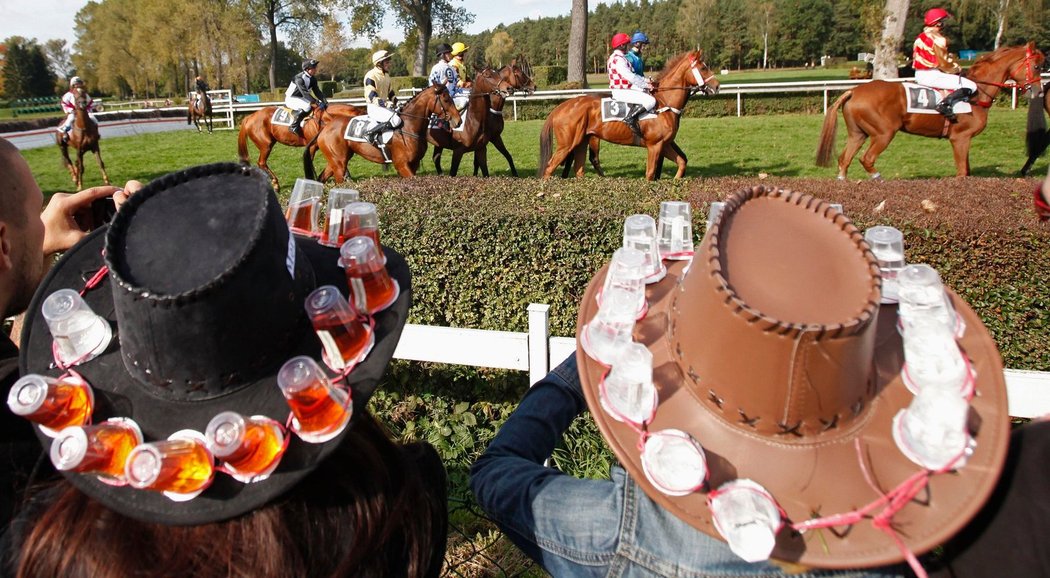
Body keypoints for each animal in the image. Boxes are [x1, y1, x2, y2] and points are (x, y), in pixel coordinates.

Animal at [306, 84, 466, 182]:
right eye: (446, 99)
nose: (458, 121)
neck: (409, 126)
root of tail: (325, 128)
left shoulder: (413, 164)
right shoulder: (402, 165)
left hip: (335, 161)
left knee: (321, 179)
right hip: (339, 164)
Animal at [537, 50, 718, 180]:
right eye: (703, 67)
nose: (716, 86)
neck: (664, 103)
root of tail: (560, 107)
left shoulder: (665, 144)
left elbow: (681, 162)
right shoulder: (655, 145)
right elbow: (650, 173)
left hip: (582, 141)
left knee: (579, 169)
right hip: (567, 144)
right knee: (549, 168)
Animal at [814, 42, 1045, 177]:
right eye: (1037, 66)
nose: (1038, 91)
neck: (976, 93)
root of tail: (854, 91)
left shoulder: (965, 139)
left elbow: (967, 170)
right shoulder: (960, 138)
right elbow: (962, 171)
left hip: (858, 133)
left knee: (844, 160)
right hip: (883, 133)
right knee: (867, 159)